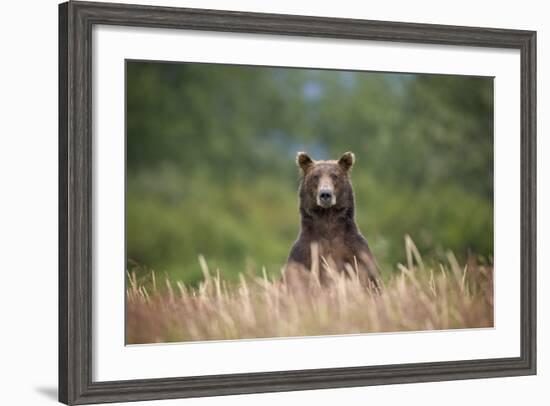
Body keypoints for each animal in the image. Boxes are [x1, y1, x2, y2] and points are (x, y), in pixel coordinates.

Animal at [286, 151, 382, 288]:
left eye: (335, 176)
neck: (327, 219)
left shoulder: (356, 252)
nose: (325, 194)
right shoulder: (303, 255)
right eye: (315, 176)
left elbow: (371, 280)